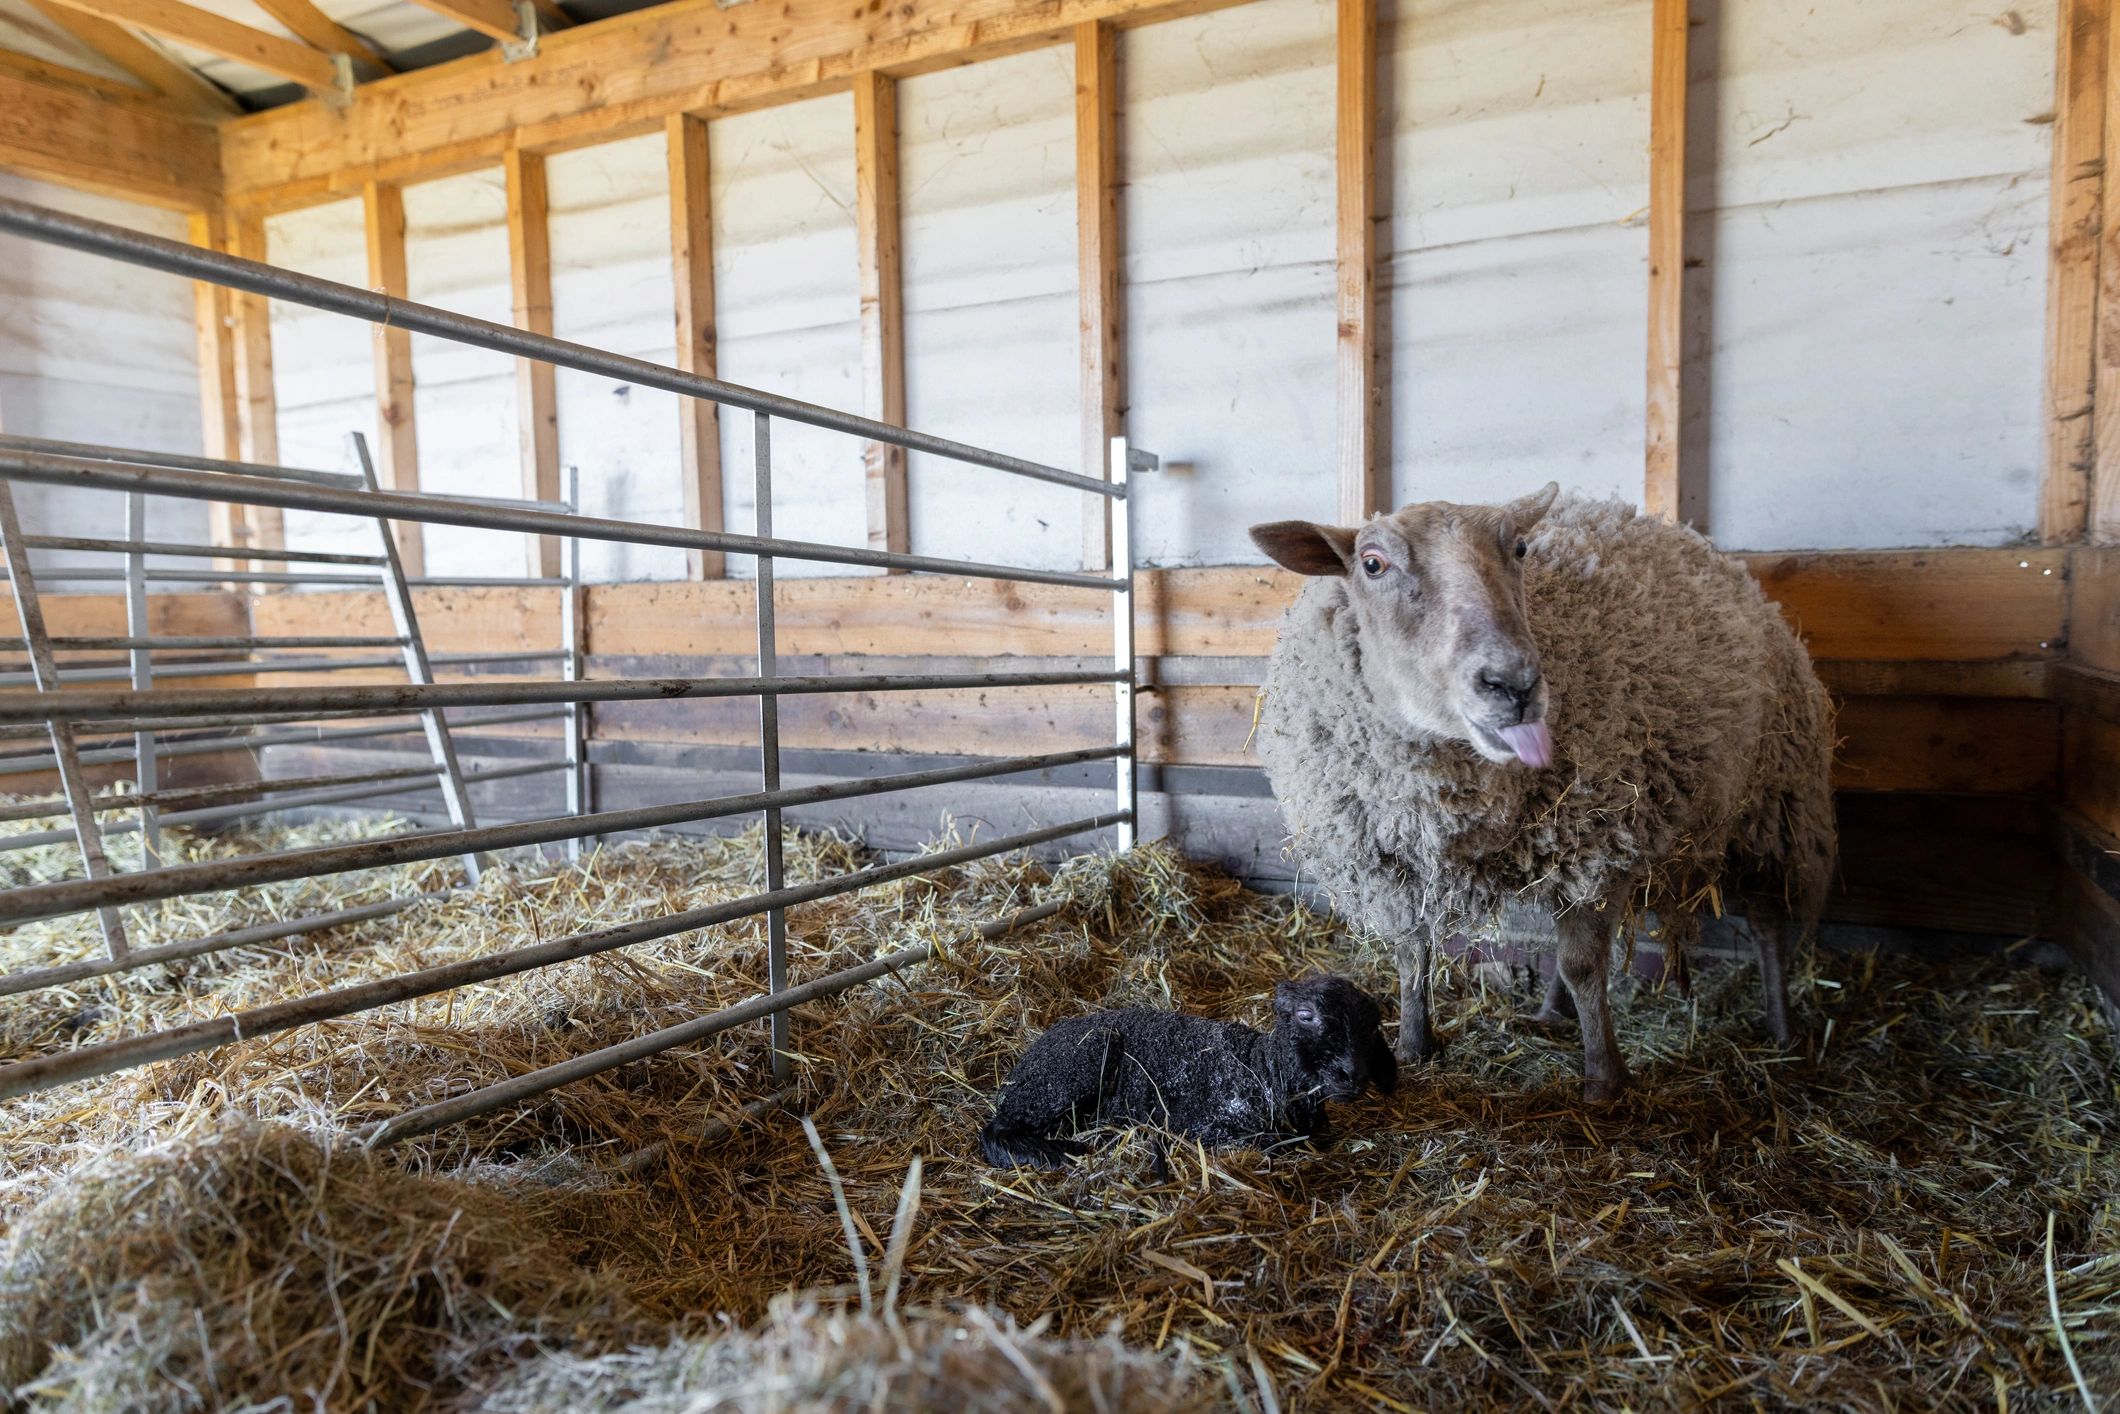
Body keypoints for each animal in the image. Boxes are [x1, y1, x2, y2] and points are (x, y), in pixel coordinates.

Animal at [979, 975, 1396, 1169]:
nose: (1352, 1076)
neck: (1262, 1069)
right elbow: (1269, 1144)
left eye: (1372, 1026)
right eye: (1305, 1015)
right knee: (996, 1132)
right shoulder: (1204, 1128)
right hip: (1069, 1071)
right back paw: (1064, 1152)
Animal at [1247, 487, 1836, 1103]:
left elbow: (1582, 965)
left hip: (1773, 801)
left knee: (1768, 917)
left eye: (1521, 548)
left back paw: (1782, 1029)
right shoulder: (1395, 864)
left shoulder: (1604, 839)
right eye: (1372, 563)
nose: (1514, 684)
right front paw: (1413, 1046)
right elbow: (1412, 953)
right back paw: (1553, 1013)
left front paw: (1604, 1079)